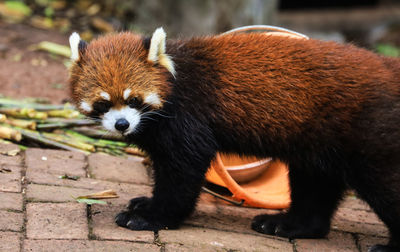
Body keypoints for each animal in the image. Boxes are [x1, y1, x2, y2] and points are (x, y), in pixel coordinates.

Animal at [69, 26, 400, 251]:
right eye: (103, 104)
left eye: (134, 100)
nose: (122, 124)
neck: (177, 79)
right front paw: (145, 203)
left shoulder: (190, 119)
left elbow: (183, 173)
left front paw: (153, 216)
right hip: (318, 143)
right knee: (315, 187)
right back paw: (289, 225)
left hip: (371, 136)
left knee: (385, 185)